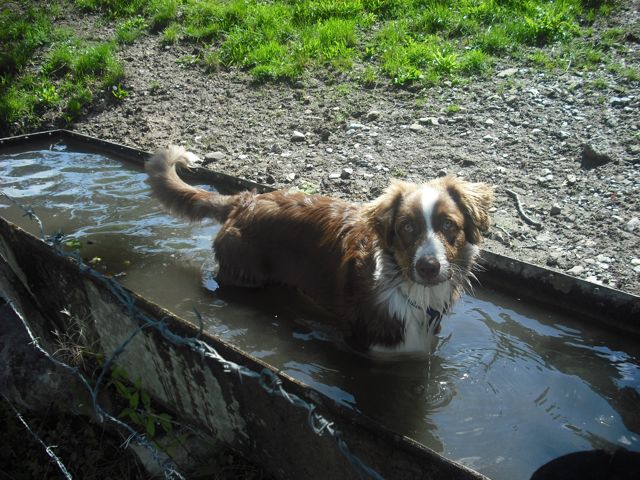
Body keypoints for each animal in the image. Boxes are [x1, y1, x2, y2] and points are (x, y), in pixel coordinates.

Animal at [146, 146, 496, 356]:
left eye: (449, 225)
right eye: (407, 227)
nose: (428, 267)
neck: (412, 292)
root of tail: (244, 201)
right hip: (246, 274)